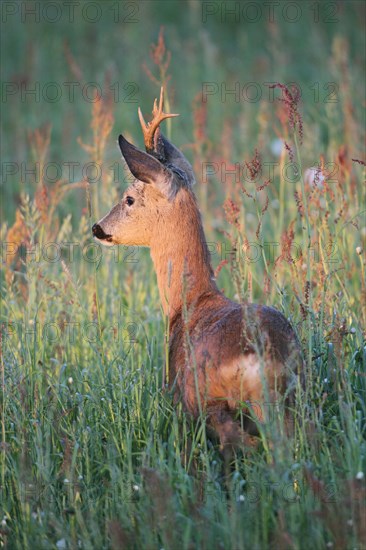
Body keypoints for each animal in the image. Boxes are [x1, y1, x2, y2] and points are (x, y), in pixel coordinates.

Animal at [92, 88, 304, 454]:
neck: (188, 302)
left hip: (215, 402)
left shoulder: (183, 399)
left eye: (129, 198)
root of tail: (265, 351)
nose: (97, 227)